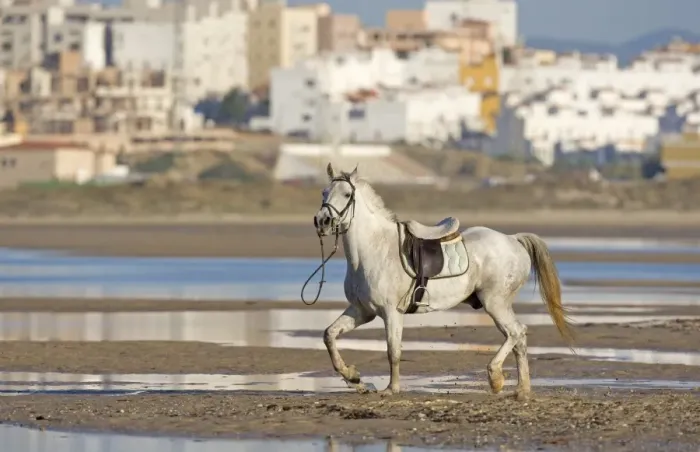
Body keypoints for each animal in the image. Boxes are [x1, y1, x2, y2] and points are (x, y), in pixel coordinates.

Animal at [311, 162, 575, 399]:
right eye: (324, 192)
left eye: (346, 194)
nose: (322, 221)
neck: (372, 250)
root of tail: (513, 239)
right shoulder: (362, 311)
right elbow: (329, 335)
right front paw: (354, 378)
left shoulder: (391, 312)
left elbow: (393, 351)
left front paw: (391, 389)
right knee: (519, 338)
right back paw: (521, 390)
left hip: (495, 303)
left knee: (516, 332)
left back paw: (496, 378)